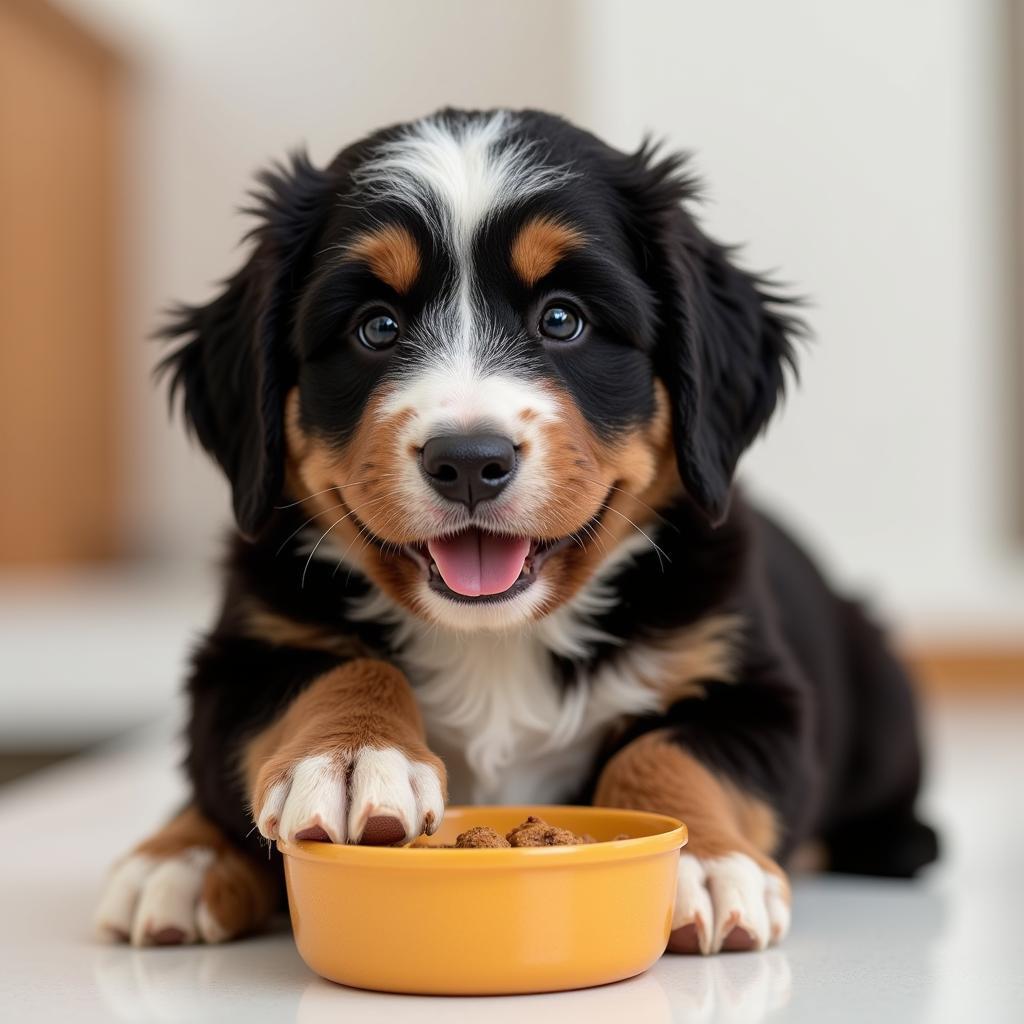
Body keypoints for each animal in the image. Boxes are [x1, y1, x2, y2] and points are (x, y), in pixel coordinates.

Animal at [96, 110, 937, 950]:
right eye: (377, 327)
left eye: (563, 318)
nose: (469, 460)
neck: (495, 644)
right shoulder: (241, 653)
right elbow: (332, 670)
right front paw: (346, 758)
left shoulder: (752, 688)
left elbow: (671, 750)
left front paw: (704, 862)